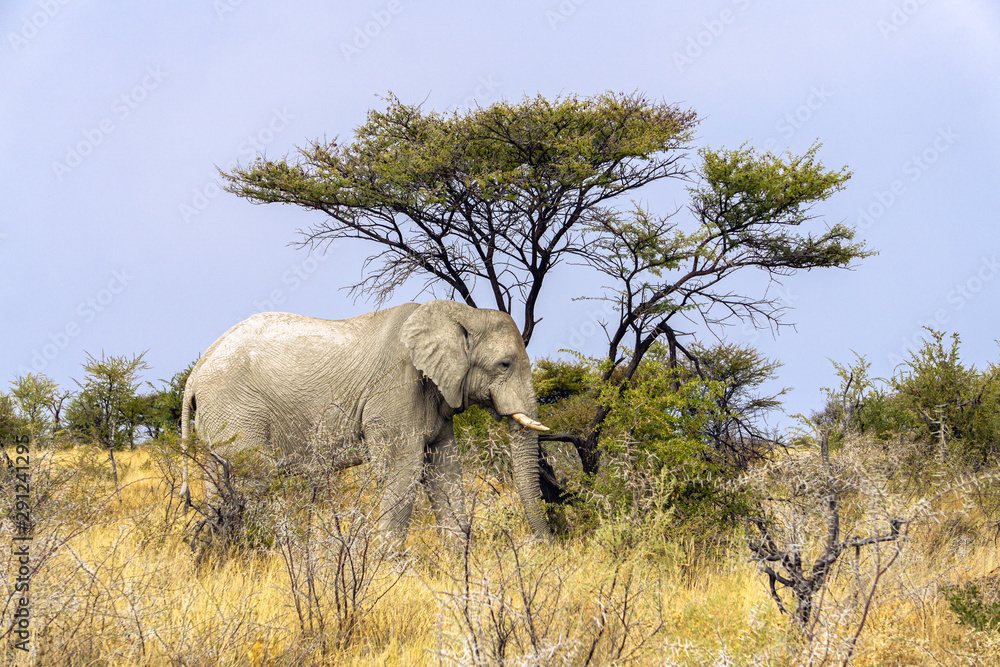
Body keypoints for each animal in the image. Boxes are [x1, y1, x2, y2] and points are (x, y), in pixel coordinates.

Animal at [178, 300, 552, 543]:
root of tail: (195, 374)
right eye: (504, 364)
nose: (545, 544)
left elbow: (445, 472)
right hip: (238, 412)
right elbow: (404, 471)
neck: (459, 313)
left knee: (220, 489)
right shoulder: (396, 390)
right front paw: (394, 575)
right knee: (256, 484)